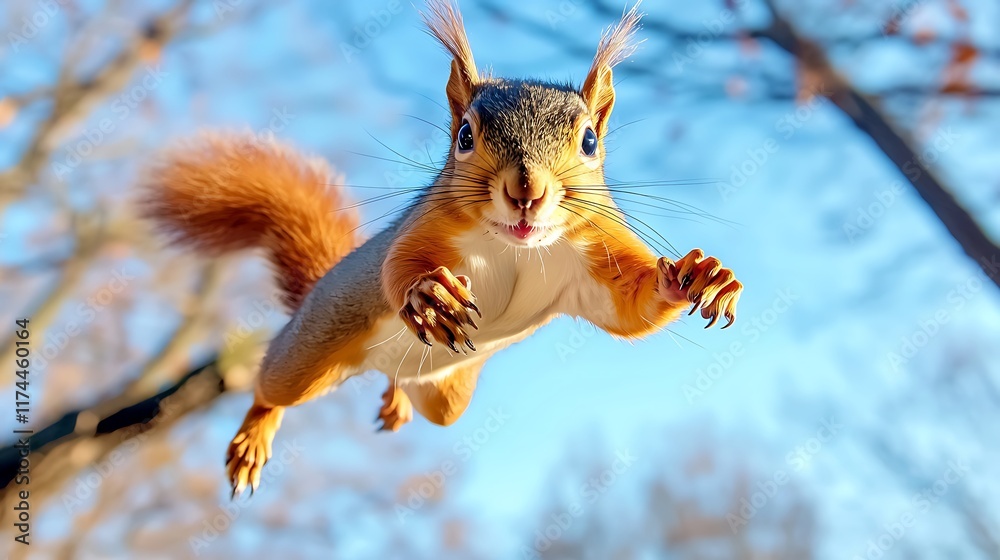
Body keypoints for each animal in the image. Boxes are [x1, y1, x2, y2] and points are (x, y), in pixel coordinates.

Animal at [141, 1, 743, 497]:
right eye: (465, 136)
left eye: (590, 141)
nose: (526, 191)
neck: (516, 246)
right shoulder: (427, 228)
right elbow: (398, 268)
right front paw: (429, 294)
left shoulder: (595, 253)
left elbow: (630, 310)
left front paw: (698, 276)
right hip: (313, 345)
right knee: (272, 387)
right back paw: (254, 436)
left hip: (447, 396)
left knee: (416, 393)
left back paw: (396, 397)